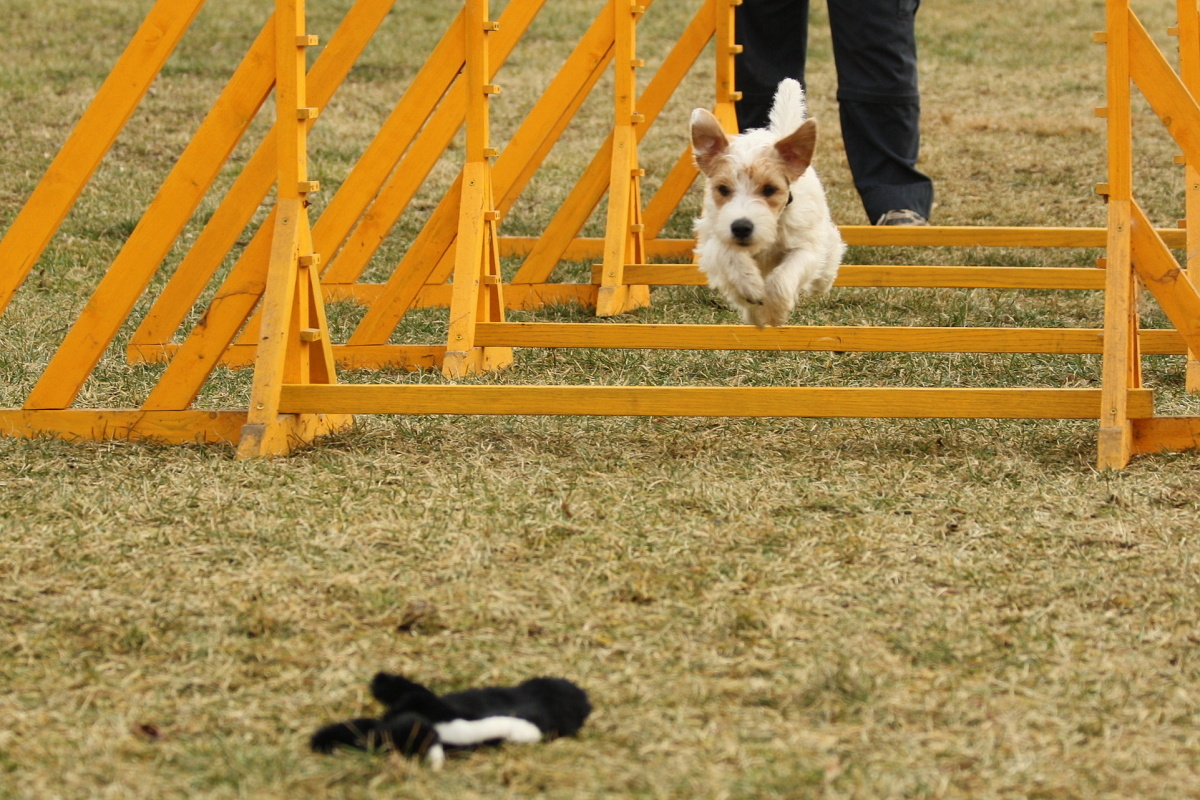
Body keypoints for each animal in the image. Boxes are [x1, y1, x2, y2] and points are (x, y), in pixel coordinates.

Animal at [691, 79, 849, 328]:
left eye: (769, 189)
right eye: (723, 189)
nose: (741, 227)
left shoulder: (805, 247)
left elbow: (782, 279)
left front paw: (774, 312)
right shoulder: (713, 238)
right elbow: (728, 254)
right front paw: (750, 287)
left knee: (829, 254)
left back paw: (822, 281)